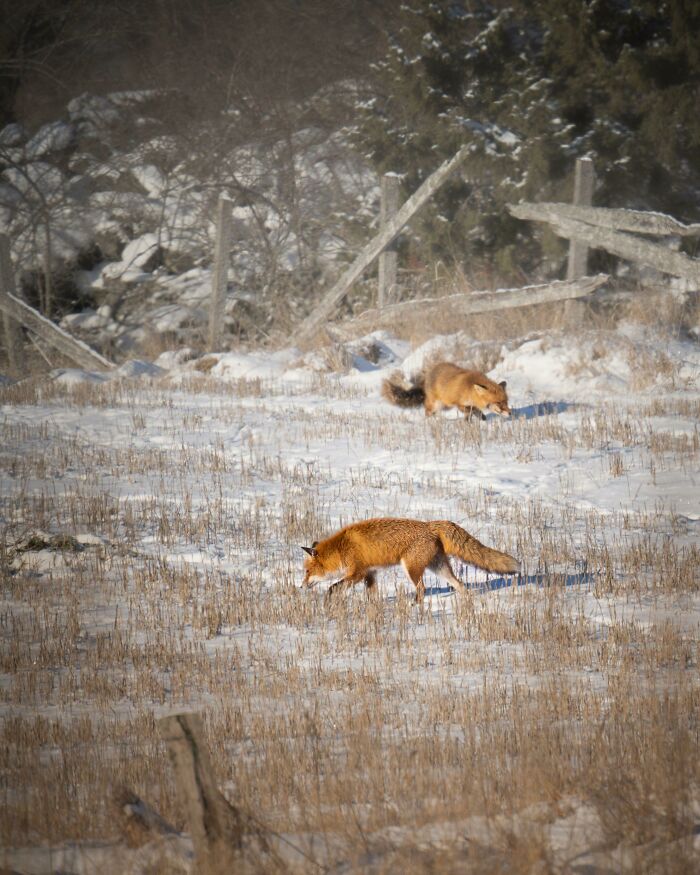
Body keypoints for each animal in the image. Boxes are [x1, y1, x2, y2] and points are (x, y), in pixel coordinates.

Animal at [301, 517, 519, 603]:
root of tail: (430, 525)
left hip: (411, 569)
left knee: (422, 588)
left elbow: (332, 588)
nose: (301, 587)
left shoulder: (358, 572)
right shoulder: (370, 573)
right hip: (438, 567)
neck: (341, 548)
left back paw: (415, 606)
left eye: (307, 571)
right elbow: (372, 595)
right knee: (459, 584)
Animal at [382, 361, 511, 420]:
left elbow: (471, 414)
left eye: (506, 402)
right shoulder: (459, 403)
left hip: (445, 406)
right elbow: (472, 410)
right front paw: (480, 418)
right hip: (435, 404)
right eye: (499, 403)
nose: (510, 413)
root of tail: (428, 374)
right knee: (427, 410)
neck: (469, 390)